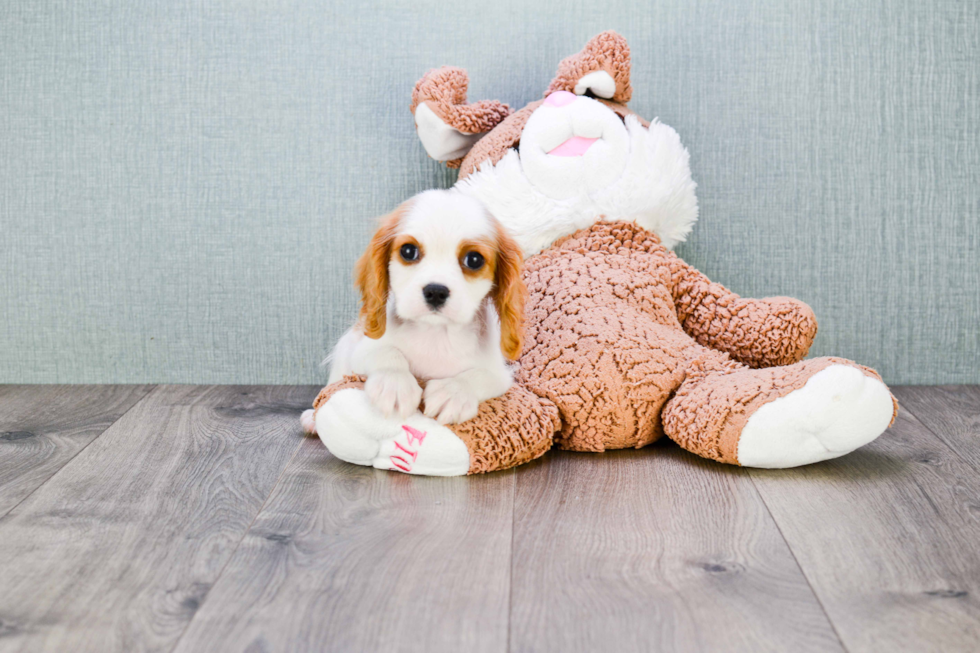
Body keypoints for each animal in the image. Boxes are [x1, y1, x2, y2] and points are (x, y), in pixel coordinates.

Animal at [306, 191, 524, 430]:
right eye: (408, 251)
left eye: (474, 259)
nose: (436, 291)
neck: (435, 332)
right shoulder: (361, 350)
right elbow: (386, 352)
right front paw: (394, 383)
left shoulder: (500, 375)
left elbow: (480, 376)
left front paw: (453, 392)